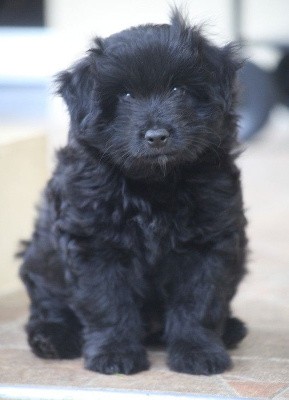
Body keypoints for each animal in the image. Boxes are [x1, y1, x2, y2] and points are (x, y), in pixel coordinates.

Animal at [20, 10, 246, 376]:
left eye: (178, 89)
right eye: (125, 95)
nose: (157, 136)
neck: (154, 184)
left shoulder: (209, 243)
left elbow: (199, 301)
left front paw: (197, 352)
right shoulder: (94, 245)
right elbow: (107, 302)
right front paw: (114, 354)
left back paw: (231, 330)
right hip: (40, 259)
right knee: (49, 305)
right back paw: (51, 338)